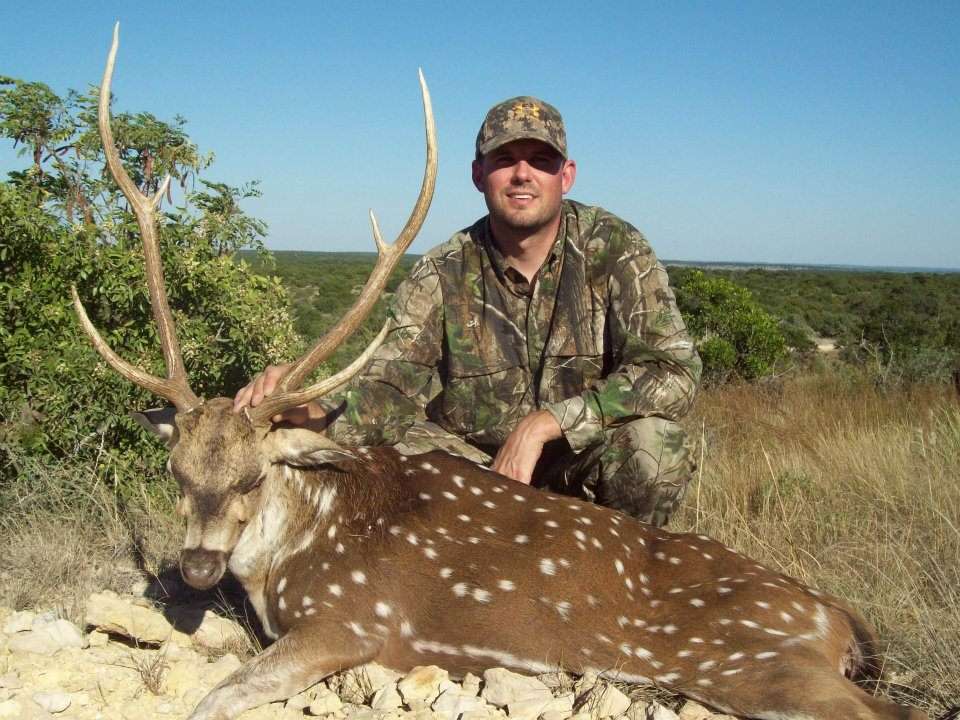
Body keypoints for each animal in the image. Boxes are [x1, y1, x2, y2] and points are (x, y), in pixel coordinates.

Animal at [70, 25, 953, 720]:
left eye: (255, 475)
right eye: (177, 472)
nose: (196, 567)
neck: (291, 552)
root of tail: (837, 618)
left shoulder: (354, 619)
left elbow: (213, 697)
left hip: (754, 660)